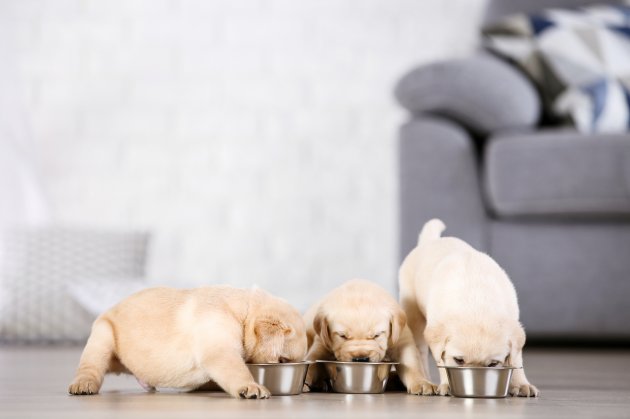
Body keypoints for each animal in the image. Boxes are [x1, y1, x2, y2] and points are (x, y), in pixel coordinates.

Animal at [67, 286, 308, 400]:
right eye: (282, 360)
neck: (243, 312)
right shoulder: (219, 350)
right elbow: (235, 369)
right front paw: (250, 386)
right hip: (102, 335)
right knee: (91, 367)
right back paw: (84, 384)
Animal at [304, 280, 436, 396]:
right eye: (342, 336)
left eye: (377, 335)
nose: (361, 359)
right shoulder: (322, 343)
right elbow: (312, 361)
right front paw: (304, 381)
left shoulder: (401, 340)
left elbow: (412, 364)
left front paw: (422, 383)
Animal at [402, 218, 540, 398]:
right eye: (459, 360)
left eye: (493, 364)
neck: (476, 304)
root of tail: (430, 241)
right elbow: (442, 362)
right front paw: (447, 384)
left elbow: (516, 359)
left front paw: (521, 384)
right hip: (414, 314)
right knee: (420, 350)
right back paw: (424, 381)